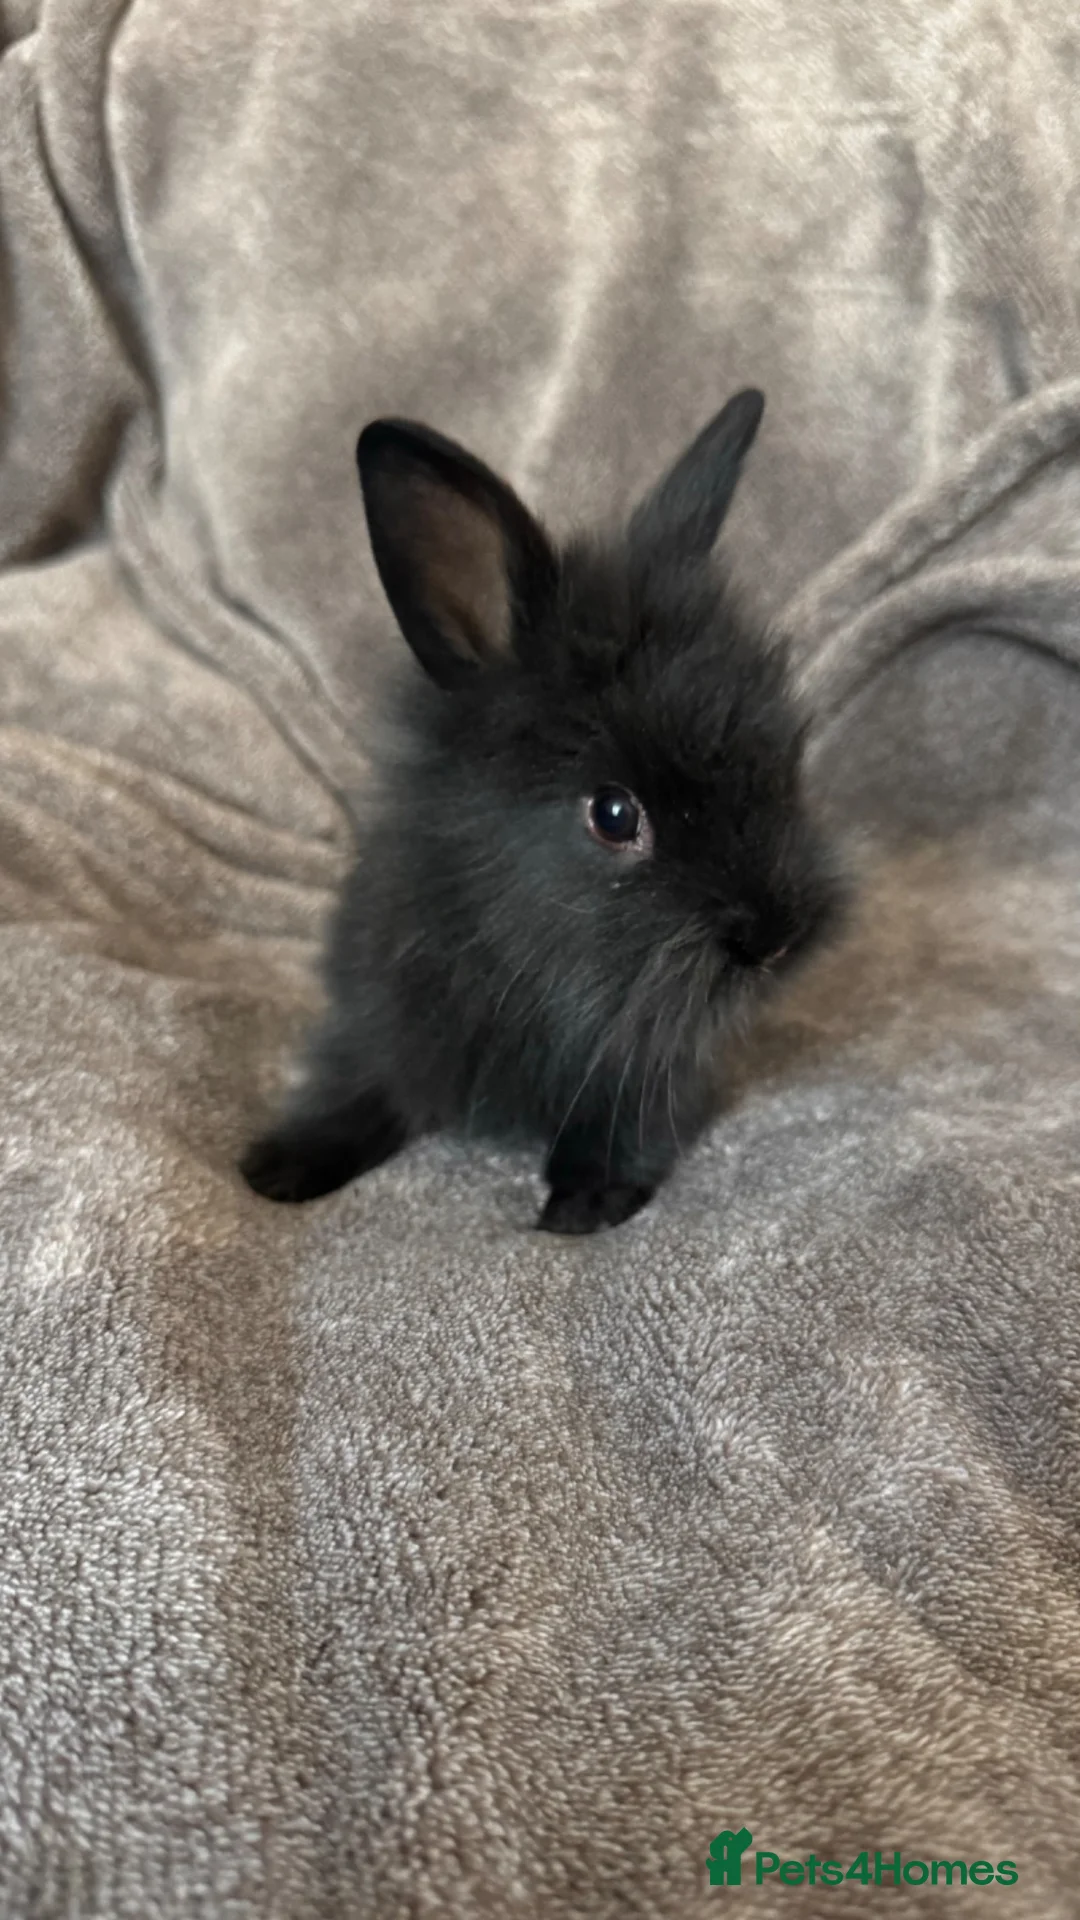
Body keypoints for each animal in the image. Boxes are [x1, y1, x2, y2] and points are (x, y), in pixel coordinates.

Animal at [241, 389, 846, 1233]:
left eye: (784, 756)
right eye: (615, 815)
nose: (776, 939)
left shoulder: (649, 1063)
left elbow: (620, 1122)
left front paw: (585, 1203)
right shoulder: (377, 1019)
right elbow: (359, 1087)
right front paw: (279, 1169)